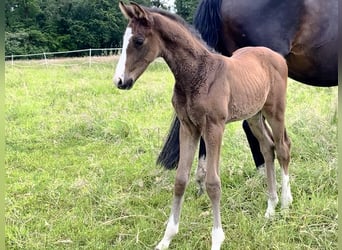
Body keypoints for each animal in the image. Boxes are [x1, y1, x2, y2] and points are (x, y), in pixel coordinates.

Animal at [113, 1, 292, 248]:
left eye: (138, 41)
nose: (120, 81)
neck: (196, 73)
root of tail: (276, 56)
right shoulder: (188, 127)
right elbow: (180, 180)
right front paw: (166, 239)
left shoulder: (214, 127)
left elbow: (213, 184)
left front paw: (217, 239)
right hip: (254, 115)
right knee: (268, 148)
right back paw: (270, 207)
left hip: (275, 110)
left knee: (283, 148)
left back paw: (284, 203)